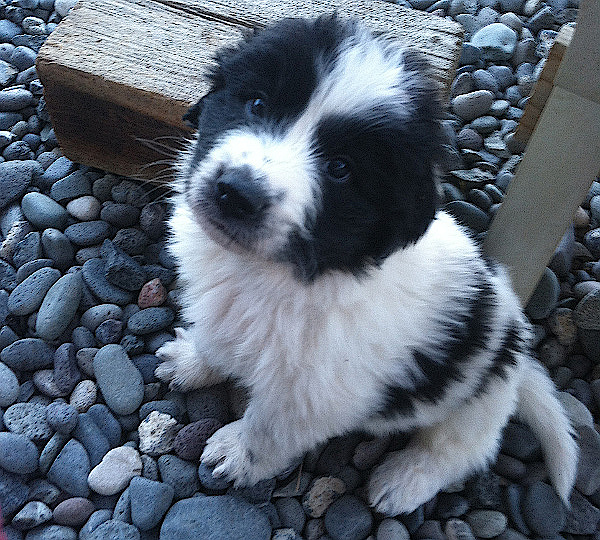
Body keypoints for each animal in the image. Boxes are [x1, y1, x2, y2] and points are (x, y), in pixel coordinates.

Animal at [157, 15, 580, 516]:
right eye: (257, 103)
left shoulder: (311, 393)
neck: (275, 271)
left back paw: (407, 478)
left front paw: (236, 455)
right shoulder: (224, 310)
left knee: (463, 449)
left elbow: (267, 431)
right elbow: (214, 342)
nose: (236, 192)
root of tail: (518, 349)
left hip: (475, 398)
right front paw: (190, 362)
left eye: (341, 168)